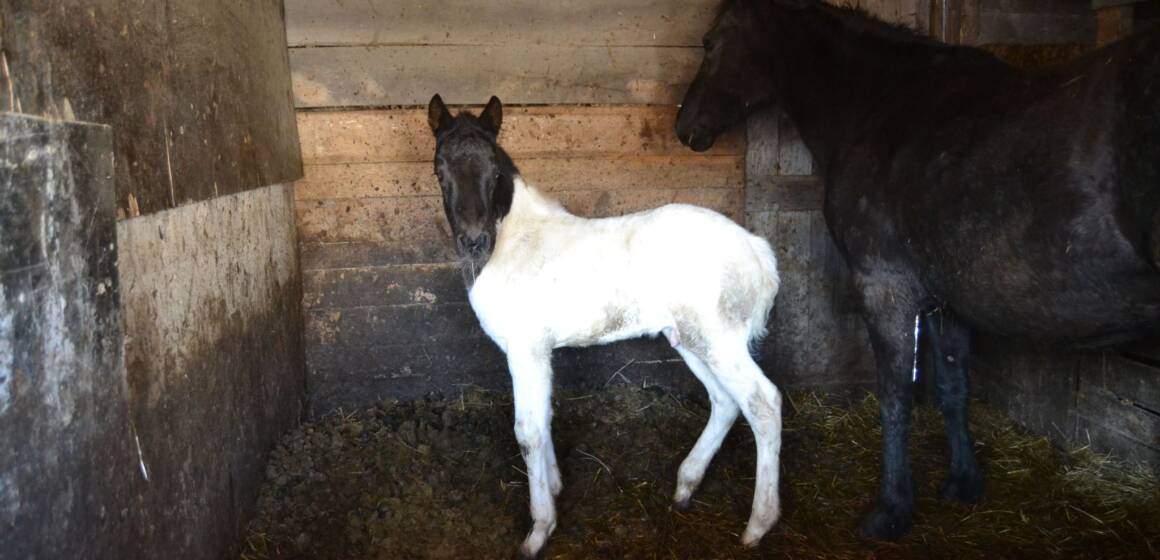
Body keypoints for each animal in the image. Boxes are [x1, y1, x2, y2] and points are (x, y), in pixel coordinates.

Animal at [431, 95, 784, 556]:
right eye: (439, 169)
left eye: (493, 171)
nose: (475, 242)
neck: (515, 244)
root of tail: (756, 248)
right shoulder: (540, 353)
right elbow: (545, 418)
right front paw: (556, 488)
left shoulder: (526, 350)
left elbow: (528, 432)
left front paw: (539, 531)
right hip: (690, 340)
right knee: (725, 401)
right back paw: (685, 487)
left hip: (720, 341)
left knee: (763, 403)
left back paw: (758, 525)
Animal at [677, 0, 1155, 542]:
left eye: (710, 42)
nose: (684, 127)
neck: (878, 106)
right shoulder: (948, 300)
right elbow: (952, 385)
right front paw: (963, 481)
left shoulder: (885, 288)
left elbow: (895, 394)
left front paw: (891, 509)